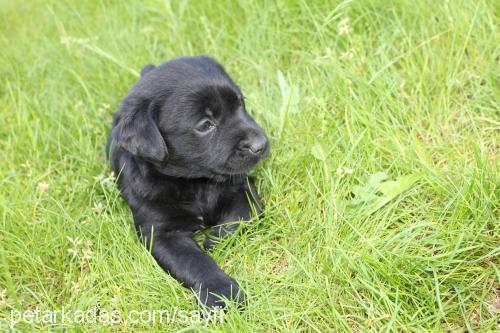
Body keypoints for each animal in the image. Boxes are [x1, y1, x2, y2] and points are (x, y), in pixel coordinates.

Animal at [106, 55, 270, 308]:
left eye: (240, 104)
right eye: (205, 125)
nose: (261, 144)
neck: (196, 183)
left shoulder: (242, 188)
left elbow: (245, 214)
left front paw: (216, 238)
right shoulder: (162, 233)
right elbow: (196, 262)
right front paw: (221, 292)